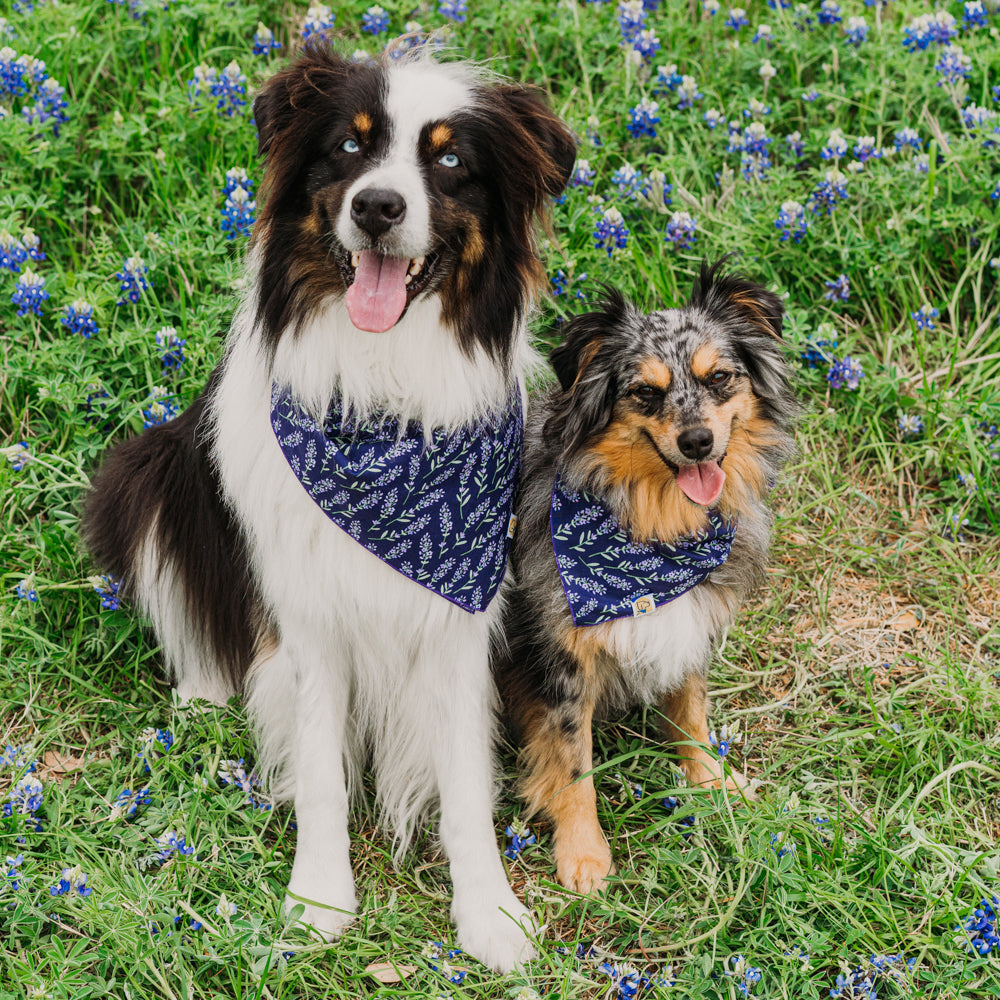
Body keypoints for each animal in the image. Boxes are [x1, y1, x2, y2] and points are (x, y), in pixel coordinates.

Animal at [82, 47, 576, 968]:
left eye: (451, 161)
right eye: (350, 147)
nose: (378, 205)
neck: (383, 396)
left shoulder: (459, 616)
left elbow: (465, 782)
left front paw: (489, 914)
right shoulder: (309, 615)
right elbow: (319, 772)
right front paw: (318, 900)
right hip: (146, 473)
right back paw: (201, 702)